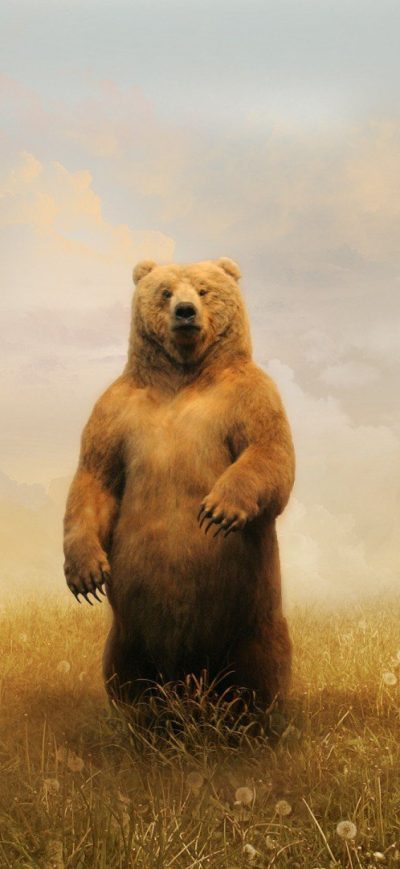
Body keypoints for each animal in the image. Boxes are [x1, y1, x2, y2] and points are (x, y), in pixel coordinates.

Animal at [63, 257, 295, 707]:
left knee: (260, 668)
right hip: (128, 633)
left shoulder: (250, 395)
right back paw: (141, 714)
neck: (184, 373)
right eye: (166, 291)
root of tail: (188, 680)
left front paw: (218, 510)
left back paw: (251, 715)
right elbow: (95, 477)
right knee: (125, 673)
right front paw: (85, 574)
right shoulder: (116, 411)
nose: (185, 312)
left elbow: (270, 453)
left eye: (204, 290)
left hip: (252, 619)